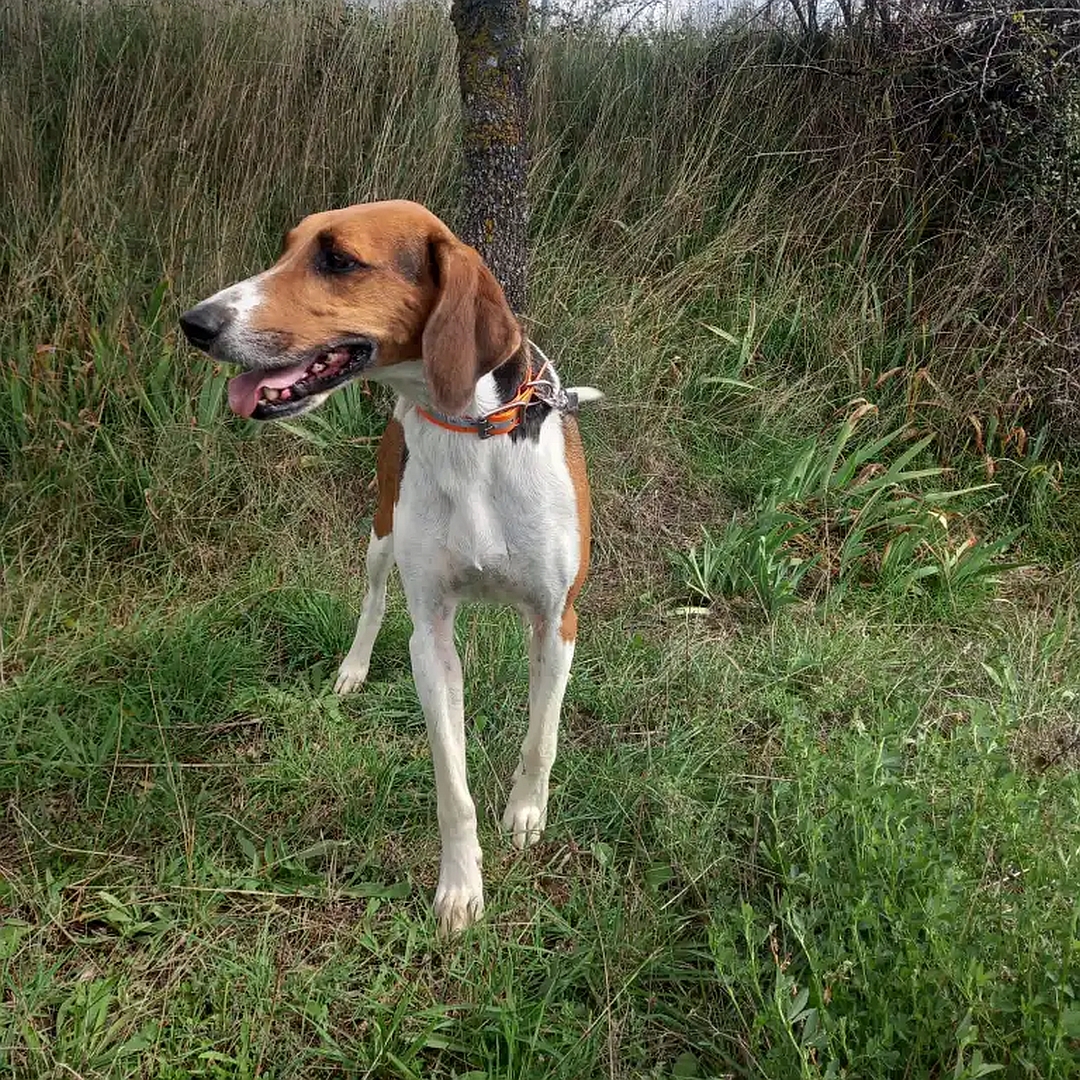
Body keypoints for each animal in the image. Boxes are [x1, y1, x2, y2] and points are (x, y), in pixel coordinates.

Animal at [177, 198, 600, 933]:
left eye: (338, 259)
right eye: (287, 248)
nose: (195, 324)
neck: (469, 431)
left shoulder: (558, 620)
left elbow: (541, 736)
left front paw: (525, 814)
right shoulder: (430, 638)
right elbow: (452, 787)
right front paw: (460, 888)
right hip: (379, 536)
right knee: (373, 603)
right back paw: (352, 670)